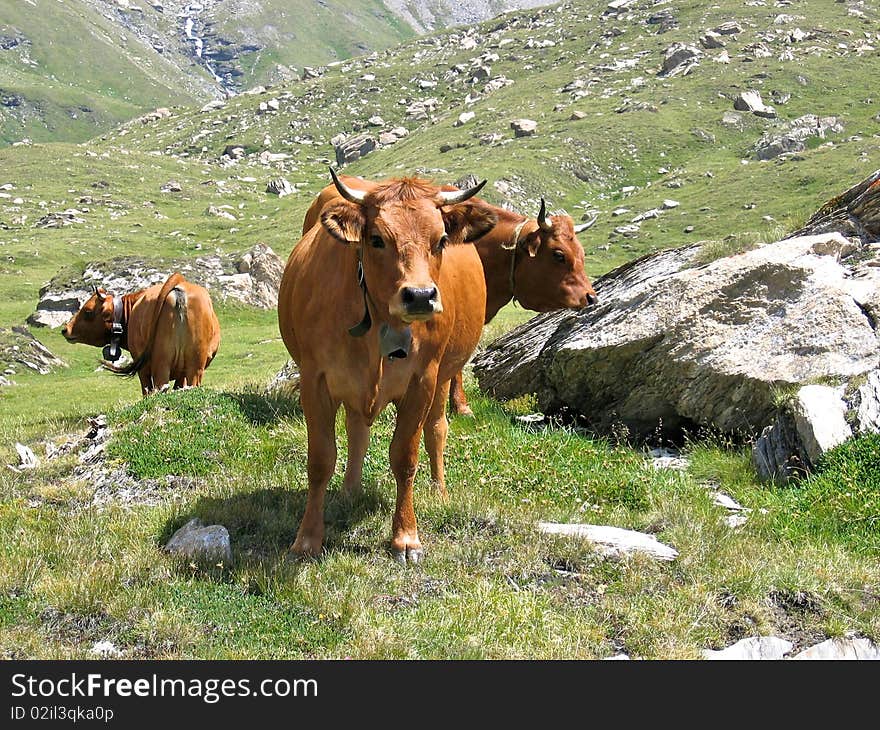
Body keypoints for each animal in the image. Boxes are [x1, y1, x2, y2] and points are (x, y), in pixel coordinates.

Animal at [60, 272, 220, 396]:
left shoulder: (142, 368)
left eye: (87, 311)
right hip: (195, 364)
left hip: (161, 363)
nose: (65, 329)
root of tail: (179, 286)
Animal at [278, 171, 496, 564]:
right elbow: (320, 459)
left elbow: (405, 457)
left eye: (441, 240)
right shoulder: (314, 380)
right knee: (356, 431)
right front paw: (307, 539)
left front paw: (406, 537)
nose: (421, 296)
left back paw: (439, 491)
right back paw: (350, 490)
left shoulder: (422, 381)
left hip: (444, 376)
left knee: (436, 430)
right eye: (377, 239)